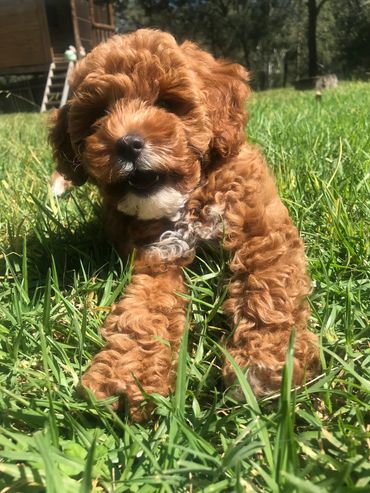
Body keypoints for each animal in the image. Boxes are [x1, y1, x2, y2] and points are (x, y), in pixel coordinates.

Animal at [49, 27, 320, 418]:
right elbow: (146, 309)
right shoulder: (158, 256)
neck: (189, 197)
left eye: (167, 103)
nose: (127, 144)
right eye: (99, 113)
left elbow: (269, 285)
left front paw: (267, 361)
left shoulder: (262, 231)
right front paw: (128, 374)